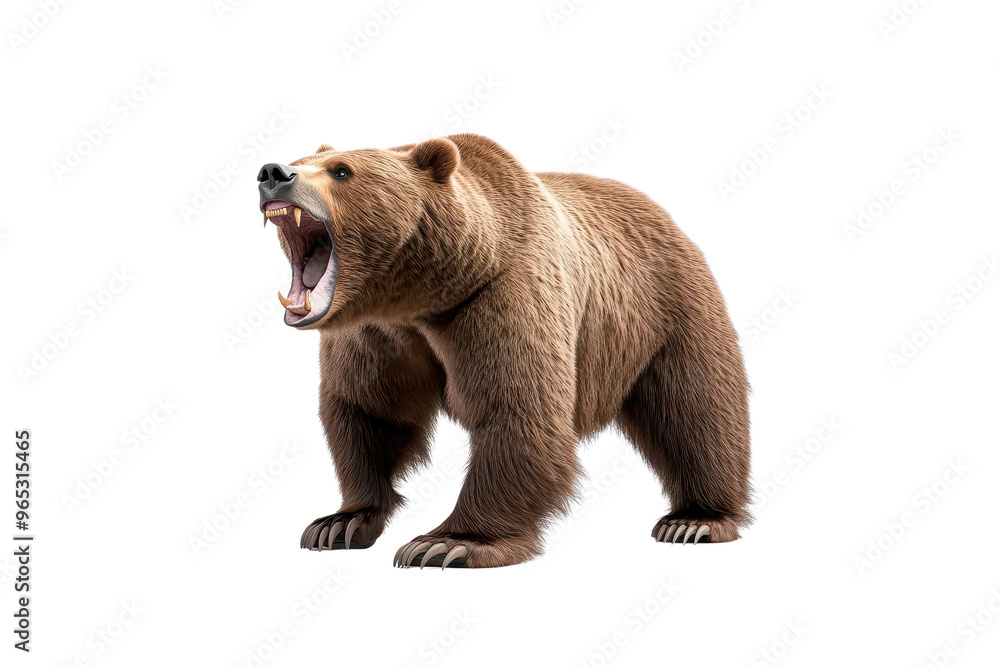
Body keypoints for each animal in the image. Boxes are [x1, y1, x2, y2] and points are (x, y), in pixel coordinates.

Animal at [256, 133, 751, 568]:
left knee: (698, 408)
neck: (418, 295)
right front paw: (338, 522)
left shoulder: (501, 294)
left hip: (666, 308)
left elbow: (517, 412)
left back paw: (695, 519)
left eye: (342, 171)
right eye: (301, 158)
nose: (273, 173)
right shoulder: (375, 334)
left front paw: (448, 543)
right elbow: (368, 411)